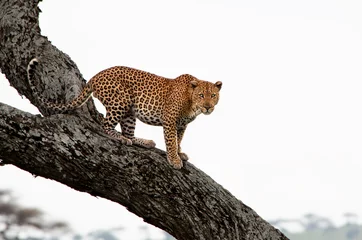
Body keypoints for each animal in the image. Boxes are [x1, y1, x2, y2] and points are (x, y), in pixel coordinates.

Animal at [26, 58, 222, 169]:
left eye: (213, 96)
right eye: (201, 95)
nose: (207, 107)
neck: (191, 104)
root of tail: (95, 76)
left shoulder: (181, 124)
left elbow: (178, 140)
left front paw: (180, 153)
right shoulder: (170, 120)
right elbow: (171, 141)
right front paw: (174, 159)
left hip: (129, 113)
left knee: (129, 133)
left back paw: (144, 142)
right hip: (120, 102)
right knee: (105, 125)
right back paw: (119, 138)